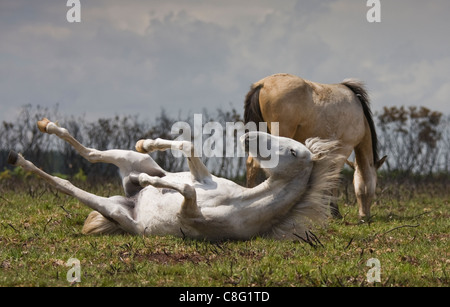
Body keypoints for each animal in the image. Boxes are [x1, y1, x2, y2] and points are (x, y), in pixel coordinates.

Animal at [7, 119, 342, 242]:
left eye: (292, 150)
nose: (248, 135)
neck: (240, 202)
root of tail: (127, 201)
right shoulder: (204, 176)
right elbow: (188, 149)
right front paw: (148, 144)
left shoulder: (189, 213)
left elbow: (187, 189)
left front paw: (148, 181)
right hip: (125, 157)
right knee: (90, 153)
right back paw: (46, 126)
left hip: (108, 208)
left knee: (64, 183)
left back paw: (19, 159)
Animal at [244, 73, 384, 220]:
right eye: (371, 192)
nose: (364, 217)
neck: (360, 114)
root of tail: (262, 84)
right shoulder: (344, 148)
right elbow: (334, 176)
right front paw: (335, 211)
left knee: (251, 165)